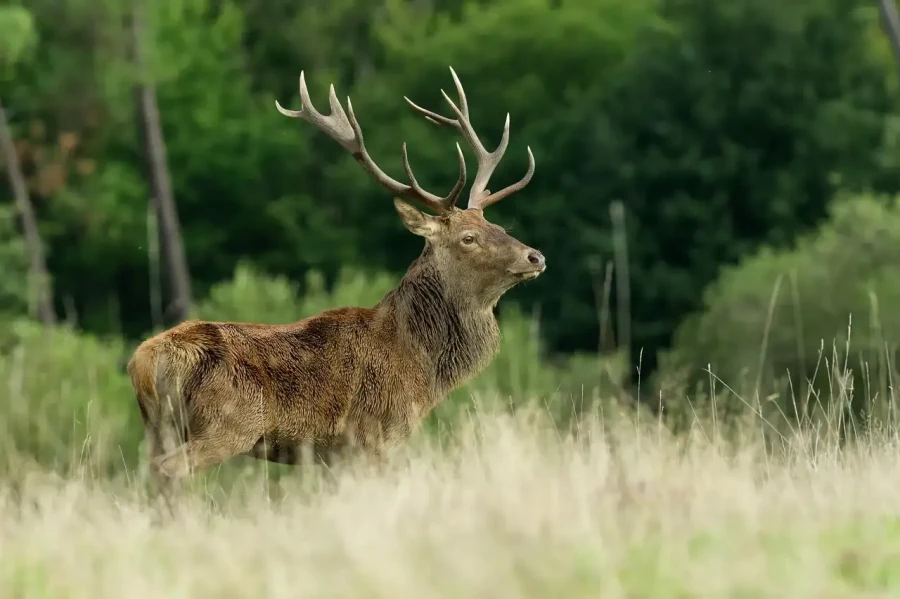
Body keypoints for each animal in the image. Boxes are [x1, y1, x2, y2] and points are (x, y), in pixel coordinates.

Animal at [127, 67, 545, 490]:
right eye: (468, 237)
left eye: (499, 226)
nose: (535, 256)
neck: (418, 366)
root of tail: (142, 361)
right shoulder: (371, 435)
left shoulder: (332, 455)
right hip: (227, 424)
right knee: (170, 470)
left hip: (158, 428)